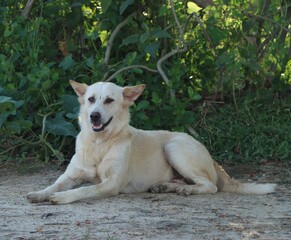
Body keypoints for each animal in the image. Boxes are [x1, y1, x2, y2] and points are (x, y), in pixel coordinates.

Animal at [26, 80, 278, 204]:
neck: (100, 144)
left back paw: (185, 190)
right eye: (90, 99)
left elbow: (85, 190)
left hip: (173, 147)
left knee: (210, 185)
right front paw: (40, 193)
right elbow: (54, 184)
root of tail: (210, 155)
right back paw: (167, 186)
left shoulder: (111, 184)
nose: (94, 116)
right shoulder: (70, 176)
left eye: (109, 100)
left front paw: (62, 198)